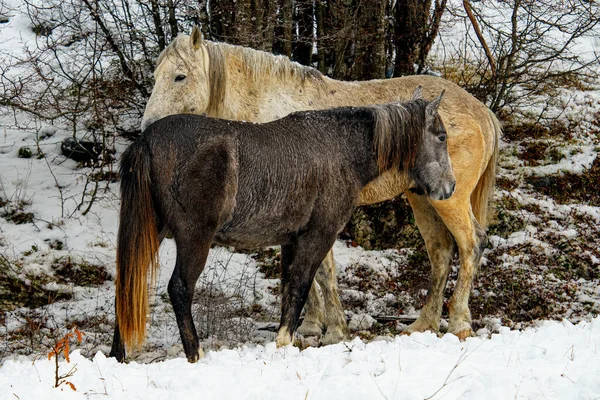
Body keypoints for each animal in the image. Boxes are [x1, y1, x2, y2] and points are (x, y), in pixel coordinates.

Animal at [110, 90, 452, 362]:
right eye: (442, 137)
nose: (450, 188)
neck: (340, 148)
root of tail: (146, 141)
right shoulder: (318, 236)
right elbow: (301, 288)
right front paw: (284, 343)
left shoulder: (290, 241)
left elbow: (290, 289)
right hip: (194, 237)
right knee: (179, 288)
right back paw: (195, 353)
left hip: (155, 232)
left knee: (127, 286)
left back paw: (117, 355)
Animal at [142, 28, 502, 346]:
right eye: (156, 75)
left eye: (180, 77)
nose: (147, 128)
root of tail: (481, 110)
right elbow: (309, 272)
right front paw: (313, 325)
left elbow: (322, 270)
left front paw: (333, 330)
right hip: (423, 198)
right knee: (441, 252)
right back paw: (424, 323)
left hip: (449, 199)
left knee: (471, 245)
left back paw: (458, 323)